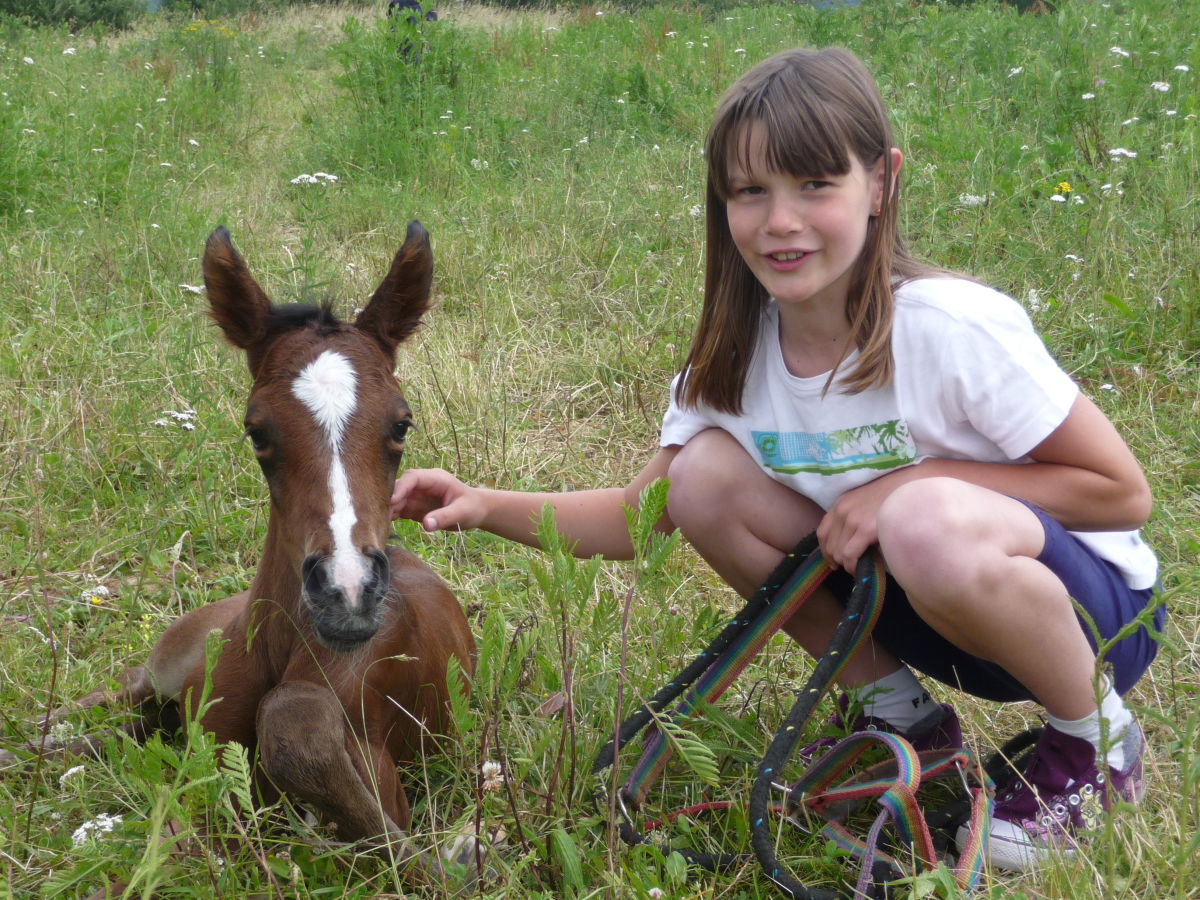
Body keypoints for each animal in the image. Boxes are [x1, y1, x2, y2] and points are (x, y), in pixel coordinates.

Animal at [19, 222, 477, 878]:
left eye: (401, 424)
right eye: (257, 431)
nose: (347, 592)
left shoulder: (378, 762)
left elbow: (294, 731)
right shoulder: (209, 760)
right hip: (167, 667)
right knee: (110, 700)